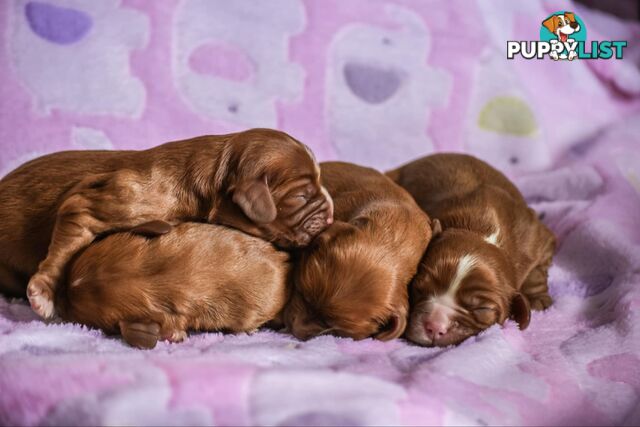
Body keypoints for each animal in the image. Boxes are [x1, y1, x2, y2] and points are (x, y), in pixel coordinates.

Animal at [384, 154, 556, 348]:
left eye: (482, 309)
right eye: (419, 288)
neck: (481, 232)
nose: (435, 327)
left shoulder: (538, 239)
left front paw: (538, 300)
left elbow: (536, 273)